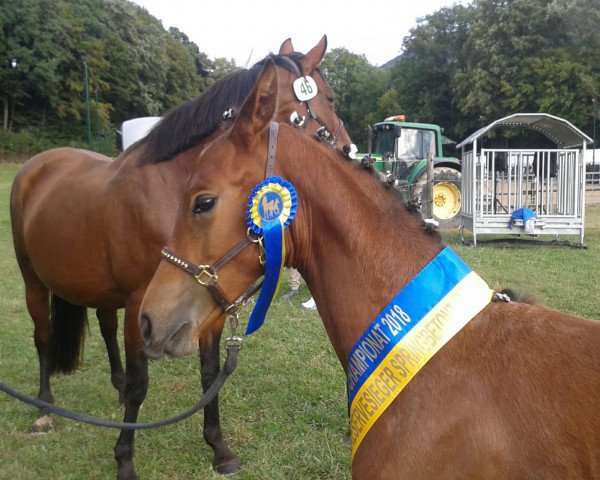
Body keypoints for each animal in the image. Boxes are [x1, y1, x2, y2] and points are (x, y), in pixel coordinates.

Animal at [9, 37, 354, 480]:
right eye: (329, 97)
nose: (348, 150)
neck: (169, 192)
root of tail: (38, 164)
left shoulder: (207, 304)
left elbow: (209, 374)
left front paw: (219, 449)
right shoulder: (142, 306)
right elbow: (142, 382)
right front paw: (125, 460)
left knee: (105, 328)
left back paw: (115, 391)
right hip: (32, 279)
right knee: (43, 336)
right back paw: (44, 409)